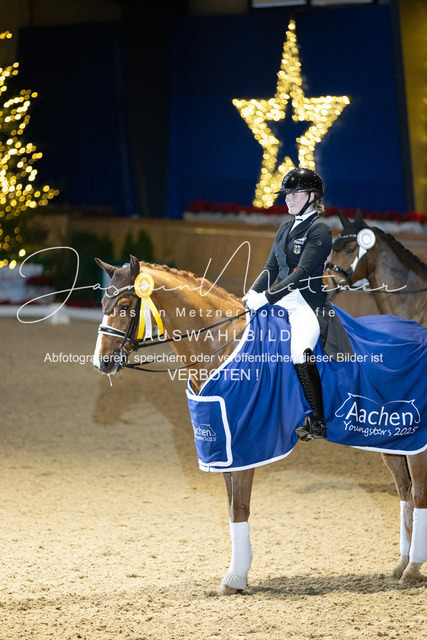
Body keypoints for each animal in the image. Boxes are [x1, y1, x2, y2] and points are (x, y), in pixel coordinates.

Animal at [93, 254, 427, 594]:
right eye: (103, 304)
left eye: (124, 305)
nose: (102, 362)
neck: (222, 343)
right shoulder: (223, 445)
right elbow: (231, 509)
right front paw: (238, 574)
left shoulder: (243, 444)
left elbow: (239, 508)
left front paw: (234, 578)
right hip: (390, 438)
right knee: (405, 492)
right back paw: (400, 565)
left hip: (417, 442)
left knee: (419, 495)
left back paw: (413, 569)